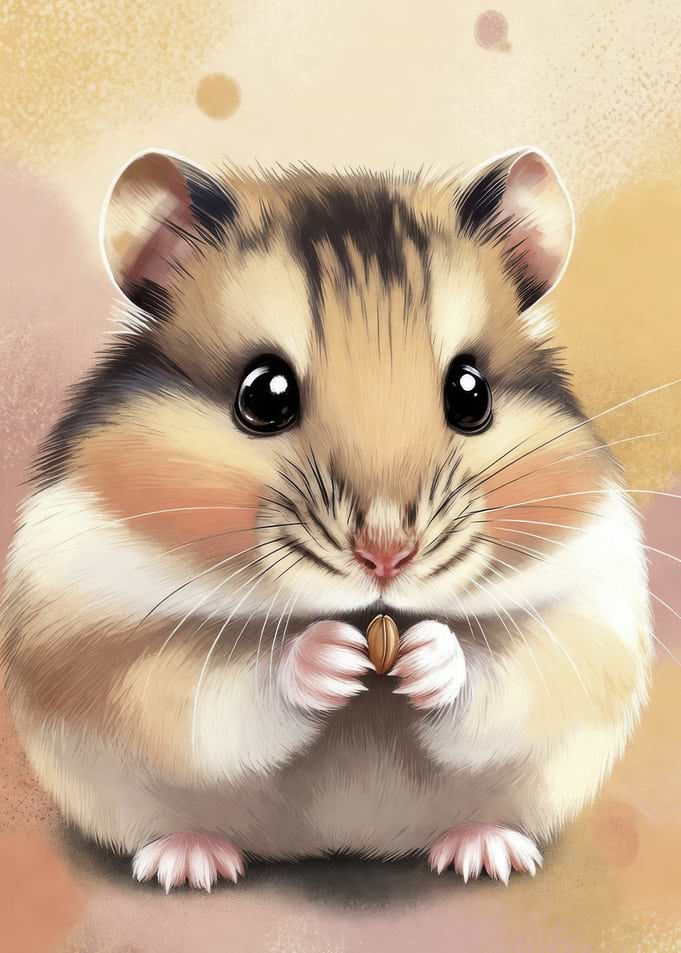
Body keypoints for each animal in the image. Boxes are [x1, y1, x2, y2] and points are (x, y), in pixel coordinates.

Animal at [1, 146, 651, 892]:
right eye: (263, 394)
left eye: (471, 392)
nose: (386, 557)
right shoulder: (92, 643)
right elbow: (212, 689)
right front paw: (328, 658)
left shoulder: (585, 625)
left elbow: (506, 673)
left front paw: (426, 659)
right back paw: (189, 864)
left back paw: (486, 854)